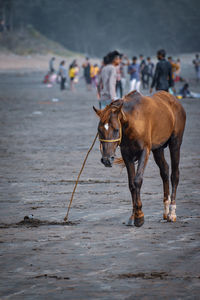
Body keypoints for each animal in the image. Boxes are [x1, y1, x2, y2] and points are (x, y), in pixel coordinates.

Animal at [93, 90, 186, 226]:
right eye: (99, 130)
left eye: (116, 129)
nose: (106, 159)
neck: (132, 121)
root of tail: (175, 101)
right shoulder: (127, 155)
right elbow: (131, 184)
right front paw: (134, 215)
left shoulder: (144, 151)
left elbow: (137, 180)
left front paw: (139, 216)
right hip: (158, 148)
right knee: (164, 170)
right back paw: (166, 210)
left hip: (175, 142)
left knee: (175, 174)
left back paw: (172, 213)